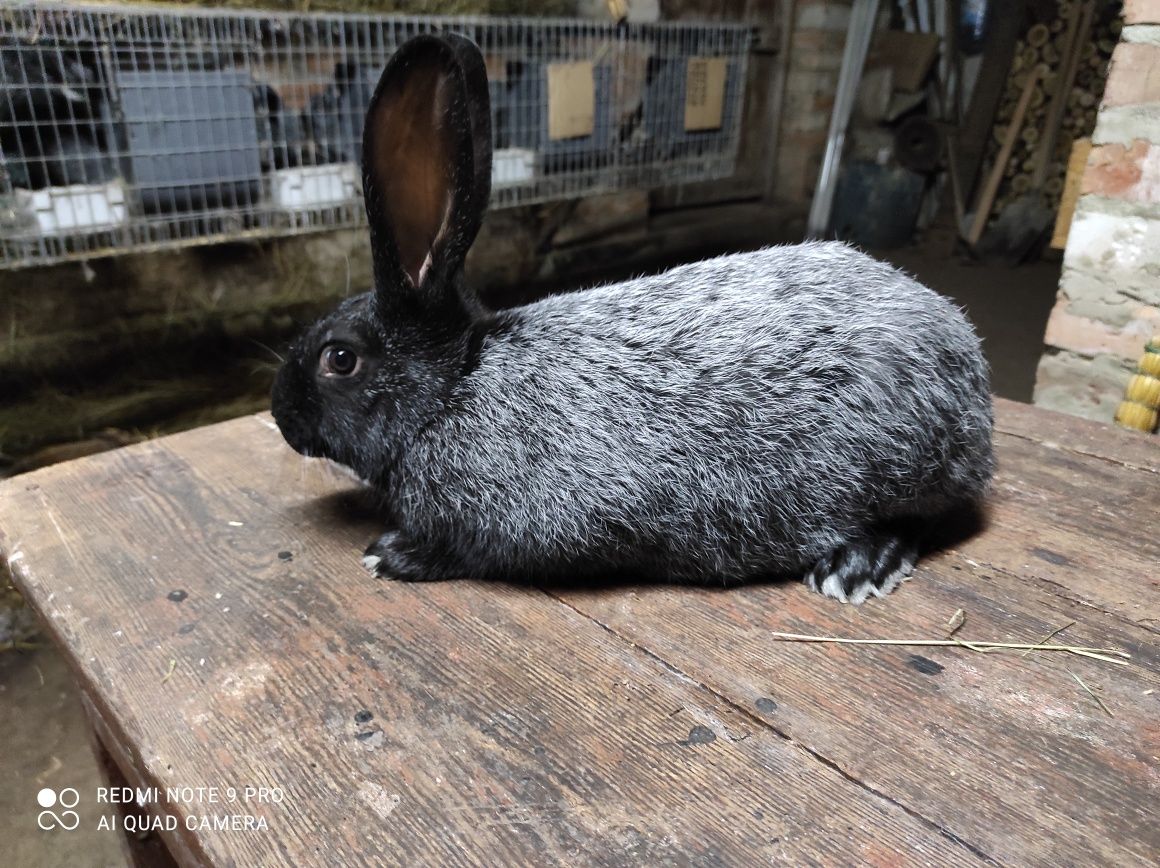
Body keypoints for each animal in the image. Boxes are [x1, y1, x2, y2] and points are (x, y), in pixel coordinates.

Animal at [266, 33, 992, 603]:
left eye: (339, 358)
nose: (282, 415)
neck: (456, 386)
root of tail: (968, 363)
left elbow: (463, 551)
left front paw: (388, 553)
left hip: (898, 463)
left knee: (925, 516)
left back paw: (856, 567)